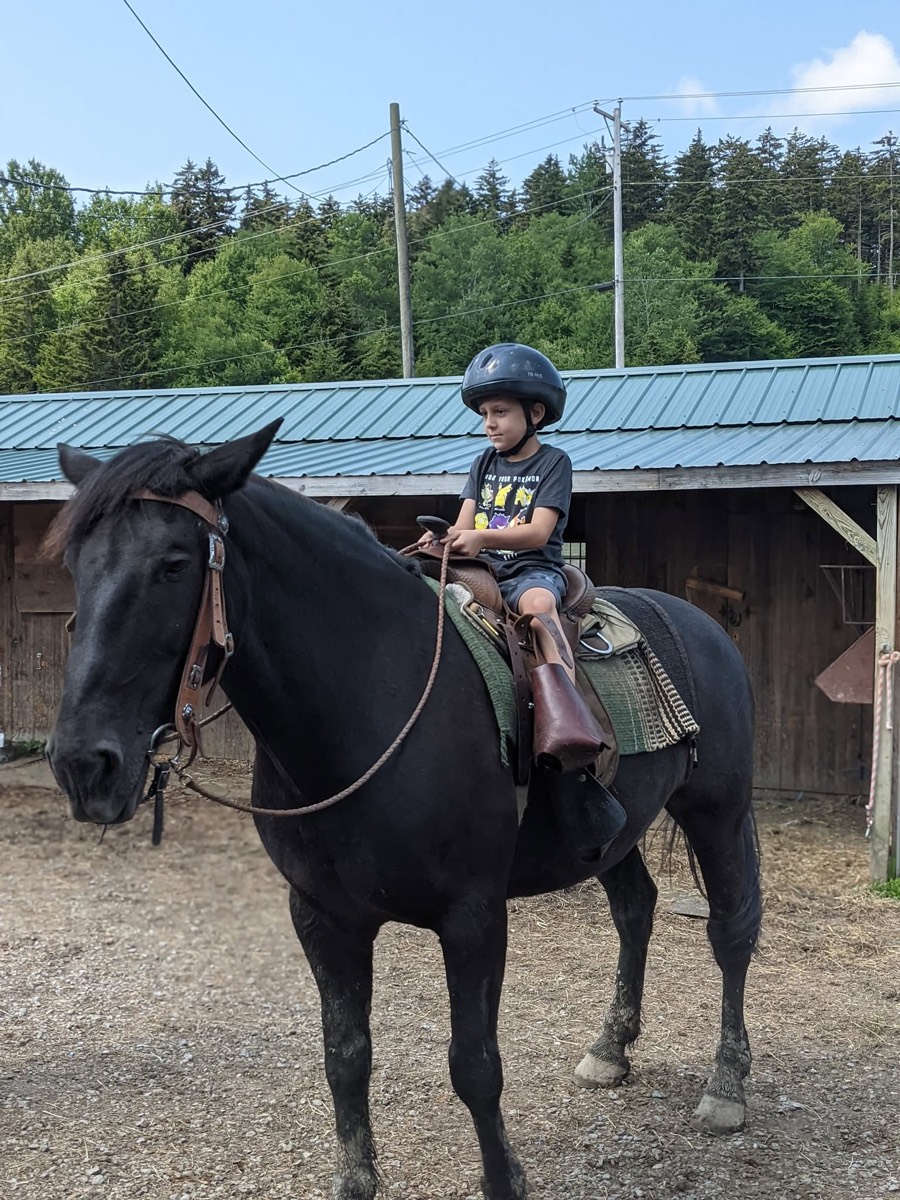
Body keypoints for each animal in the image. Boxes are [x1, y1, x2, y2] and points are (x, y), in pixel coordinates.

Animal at [46, 422, 761, 1200]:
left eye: (174, 565)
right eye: (76, 562)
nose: (83, 765)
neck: (369, 701)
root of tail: (699, 625)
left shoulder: (474, 917)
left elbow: (475, 1065)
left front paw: (504, 1179)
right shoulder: (323, 917)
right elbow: (345, 1057)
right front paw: (357, 1179)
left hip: (718, 813)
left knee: (730, 932)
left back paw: (726, 1088)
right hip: (612, 836)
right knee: (635, 909)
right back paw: (610, 1049)